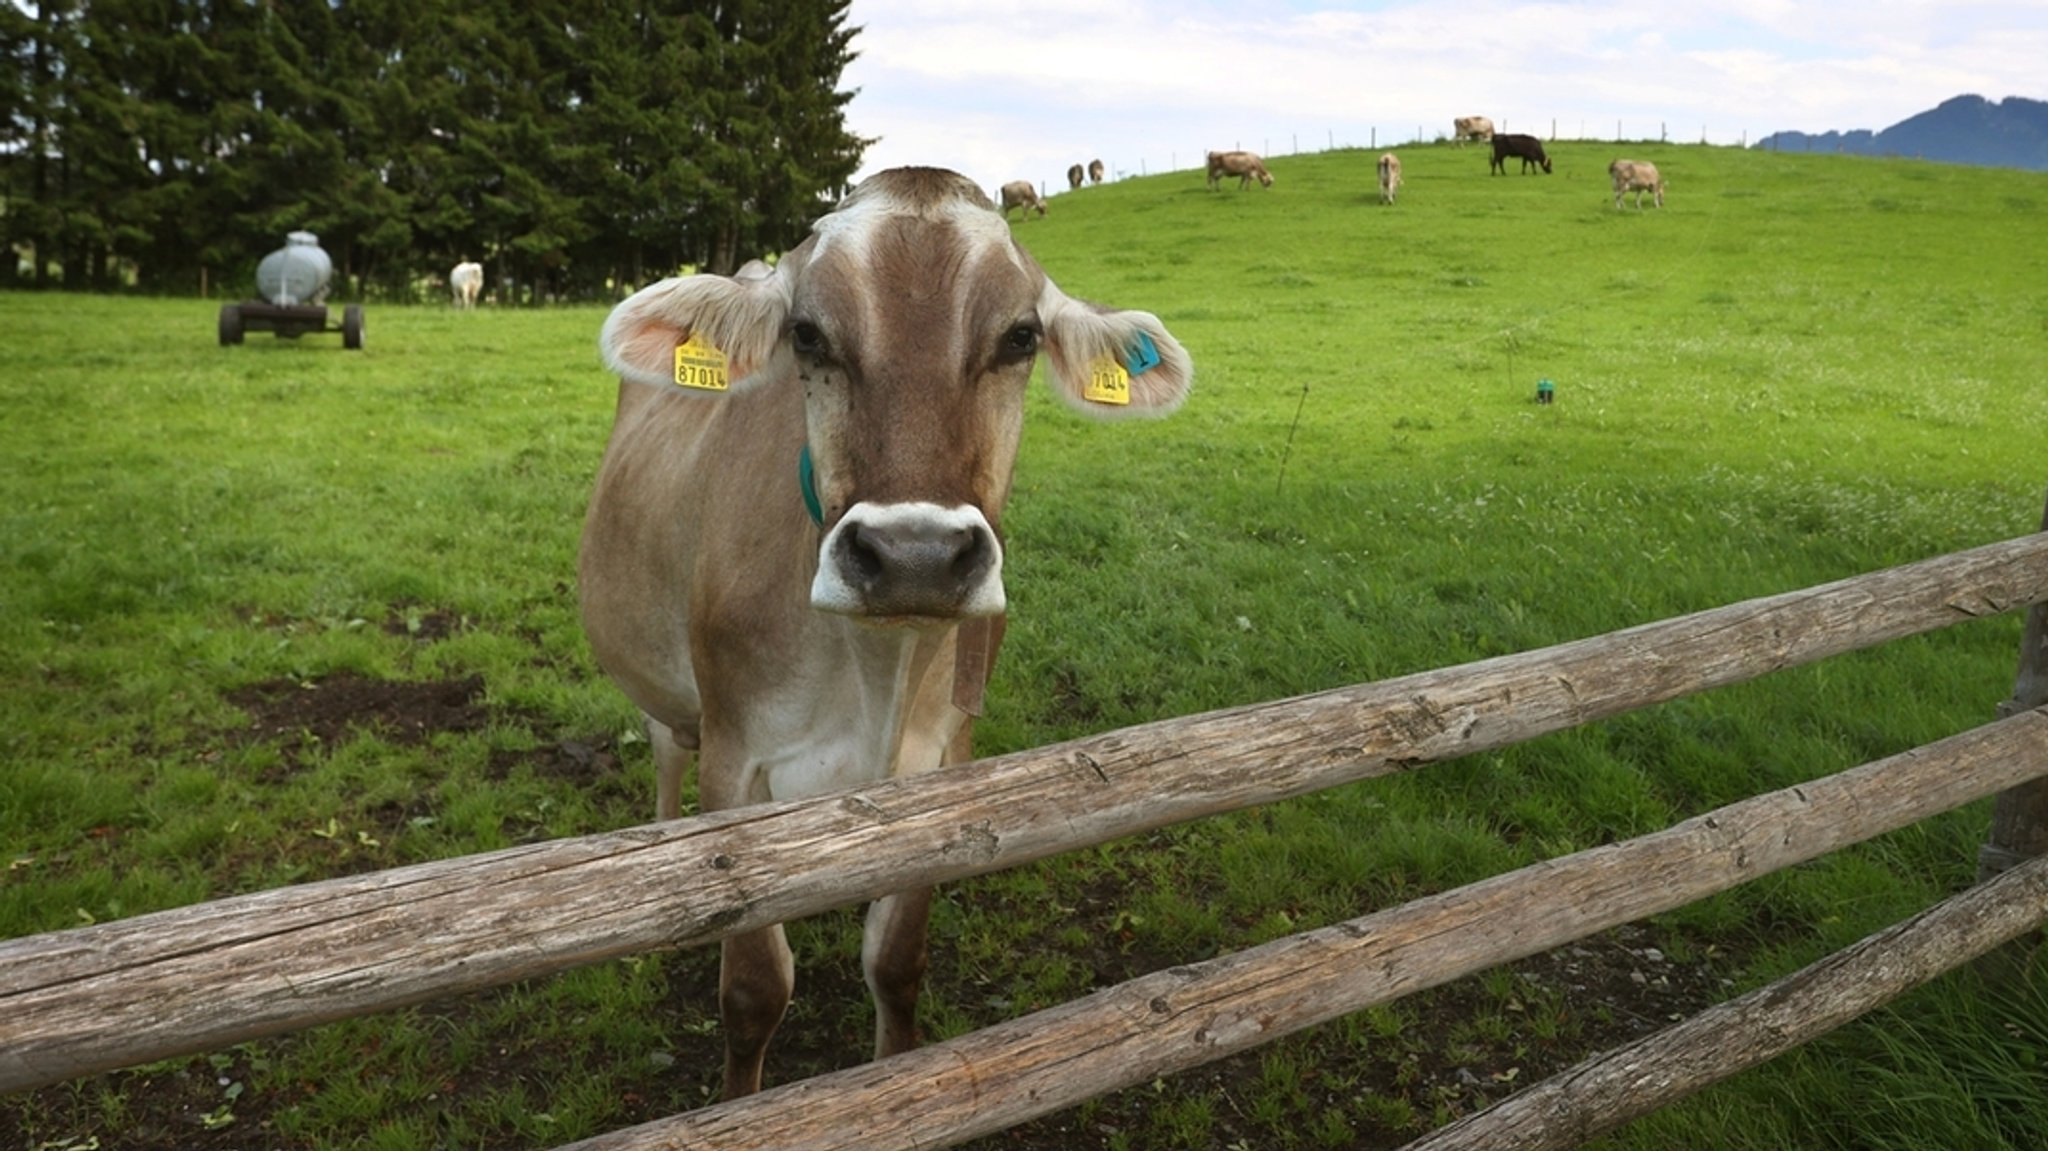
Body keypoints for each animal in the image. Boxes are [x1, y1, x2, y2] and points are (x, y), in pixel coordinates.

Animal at [577, 163, 1196, 1089]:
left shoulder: (941, 761)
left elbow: (897, 961)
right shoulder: (736, 757)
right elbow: (754, 988)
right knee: (664, 749)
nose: (915, 555)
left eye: (1020, 336)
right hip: (665, 688)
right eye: (806, 334)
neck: (873, 677)